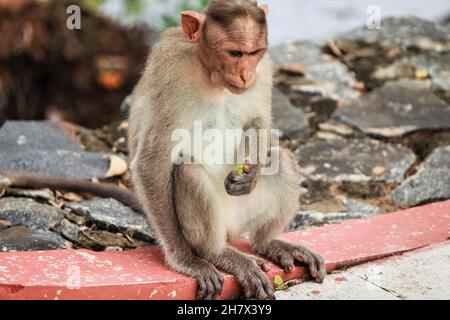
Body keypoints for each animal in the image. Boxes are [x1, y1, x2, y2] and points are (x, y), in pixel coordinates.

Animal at [0, 0, 324, 300]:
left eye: (254, 52)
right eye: (234, 53)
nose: (246, 75)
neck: (210, 74)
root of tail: (230, 232)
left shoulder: (264, 69)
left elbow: (259, 122)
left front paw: (251, 175)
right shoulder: (171, 73)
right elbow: (151, 162)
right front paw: (185, 260)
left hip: (243, 216)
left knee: (281, 158)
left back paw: (268, 241)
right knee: (188, 170)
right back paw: (217, 253)